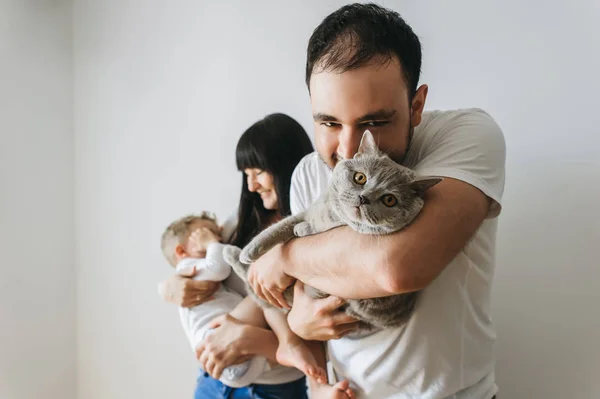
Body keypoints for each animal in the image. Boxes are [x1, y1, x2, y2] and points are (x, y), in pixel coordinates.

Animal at [223, 130, 442, 334]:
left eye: (389, 200)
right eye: (360, 177)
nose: (363, 198)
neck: (330, 215)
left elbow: (311, 229)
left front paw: (302, 230)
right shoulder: (307, 211)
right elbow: (279, 227)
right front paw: (251, 249)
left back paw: (229, 252)